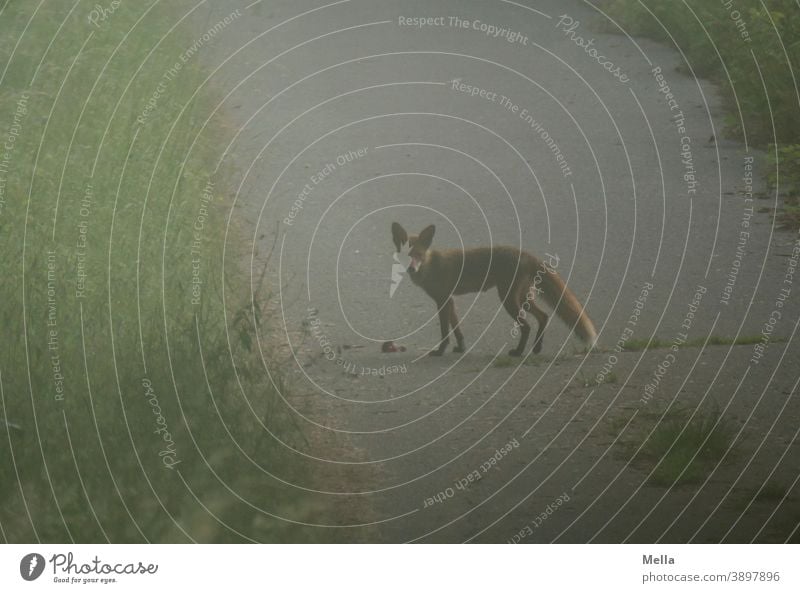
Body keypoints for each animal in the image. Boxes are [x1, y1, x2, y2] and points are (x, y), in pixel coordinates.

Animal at [390, 220, 596, 354]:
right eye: (407, 256)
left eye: (418, 255)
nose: (412, 269)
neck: (430, 266)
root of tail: (525, 254)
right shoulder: (450, 301)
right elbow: (457, 328)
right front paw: (461, 348)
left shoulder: (442, 301)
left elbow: (444, 331)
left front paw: (440, 351)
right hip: (522, 297)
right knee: (544, 317)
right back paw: (536, 348)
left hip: (508, 299)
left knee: (527, 326)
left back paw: (518, 352)